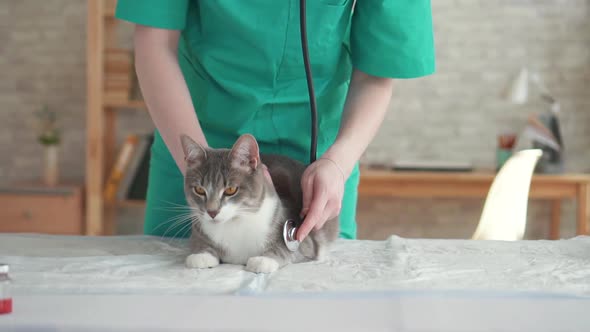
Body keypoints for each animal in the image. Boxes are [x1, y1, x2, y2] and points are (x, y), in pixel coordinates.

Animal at [178, 134, 340, 274]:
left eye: (230, 190)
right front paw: (201, 255)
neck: (235, 223)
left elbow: (288, 248)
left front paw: (264, 260)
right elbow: (199, 242)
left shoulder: (303, 237)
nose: (212, 212)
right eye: (199, 190)